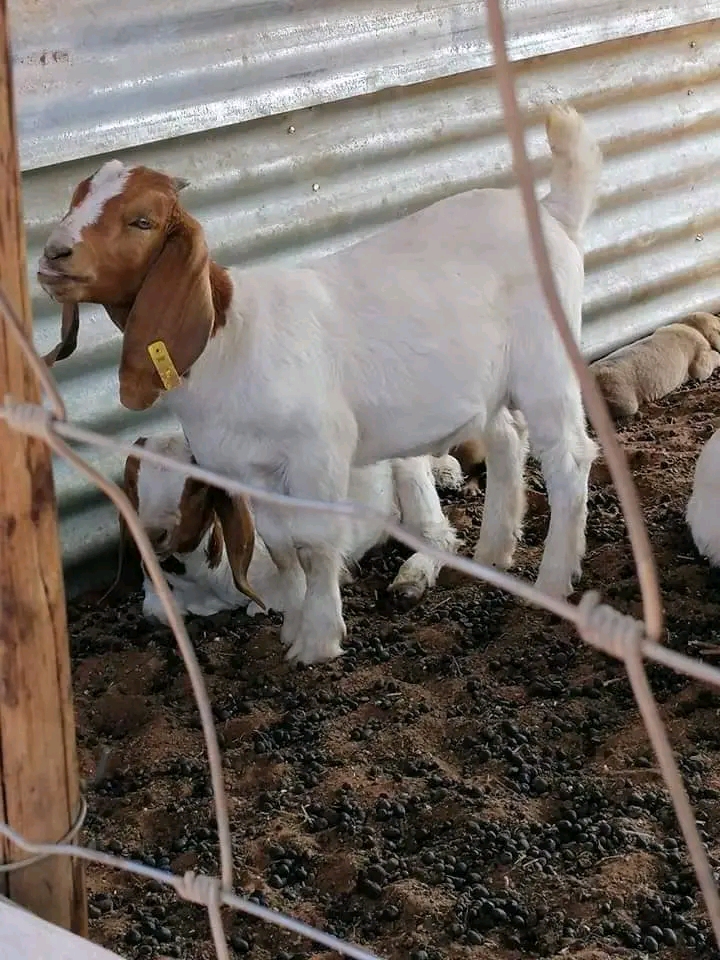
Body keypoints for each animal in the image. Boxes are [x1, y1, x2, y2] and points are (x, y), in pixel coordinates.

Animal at [122, 434, 460, 623]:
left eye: (197, 486)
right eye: (131, 483)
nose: (153, 534)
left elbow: (260, 608)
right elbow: (156, 612)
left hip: (410, 476)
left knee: (439, 536)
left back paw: (409, 582)